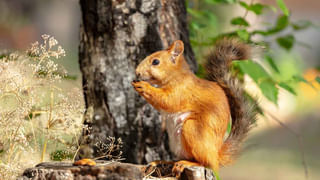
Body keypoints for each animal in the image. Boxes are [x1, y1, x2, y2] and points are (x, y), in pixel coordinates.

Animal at [131, 38, 256, 176]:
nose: (137, 72)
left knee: (206, 163)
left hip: (193, 130)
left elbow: (167, 100)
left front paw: (144, 86)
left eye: (156, 62)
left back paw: (186, 164)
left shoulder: (182, 91)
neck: (177, 76)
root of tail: (216, 154)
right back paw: (162, 162)